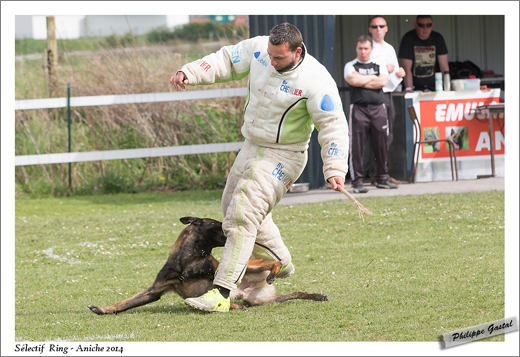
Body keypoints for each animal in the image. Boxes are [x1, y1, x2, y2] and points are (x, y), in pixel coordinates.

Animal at [87, 216, 328, 312]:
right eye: (219, 225)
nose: (236, 231)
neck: (187, 261)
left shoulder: (216, 270)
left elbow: (217, 286)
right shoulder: (155, 290)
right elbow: (124, 303)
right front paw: (102, 310)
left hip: (249, 268)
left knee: (272, 261)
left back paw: (273, 274)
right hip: (262, 300)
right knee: (294, 292)